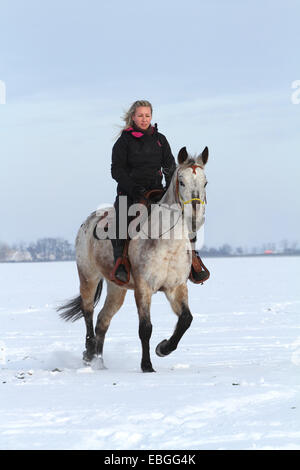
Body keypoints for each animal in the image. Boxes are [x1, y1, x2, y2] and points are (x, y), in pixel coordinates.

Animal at [58, 145, 209, 372]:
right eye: (181, 181)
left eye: (205, 182)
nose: (195, 219)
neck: (167, 243)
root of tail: (89, 220)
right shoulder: (143, 287)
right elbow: (145, 328)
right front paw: (147, 365)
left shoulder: (176, 287)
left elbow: (186, 320)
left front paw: (163, 348)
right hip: (88, 277)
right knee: (88, 311)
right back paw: (89, 352)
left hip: (116, 288)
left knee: (103, 320)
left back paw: (99, 362)